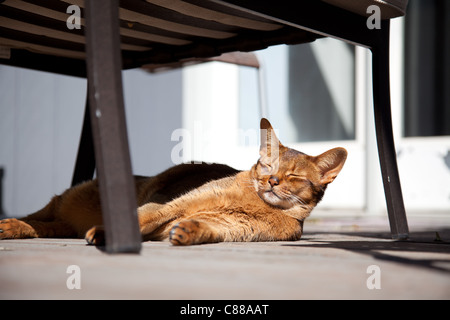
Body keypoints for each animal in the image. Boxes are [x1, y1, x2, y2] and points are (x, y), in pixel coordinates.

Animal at [0, 119, 348, 246]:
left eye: (294, 176)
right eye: (266, 165)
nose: (272, 181)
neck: (253, 202)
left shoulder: (234, 229)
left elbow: (208, 229)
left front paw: (189, 231)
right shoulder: (177, 202)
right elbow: (149, 215)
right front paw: (107, 232)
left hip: (63, 221)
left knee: (47, 227)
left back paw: (15, 229)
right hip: (64, 201)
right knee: (37, 217)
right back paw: (11, 224)